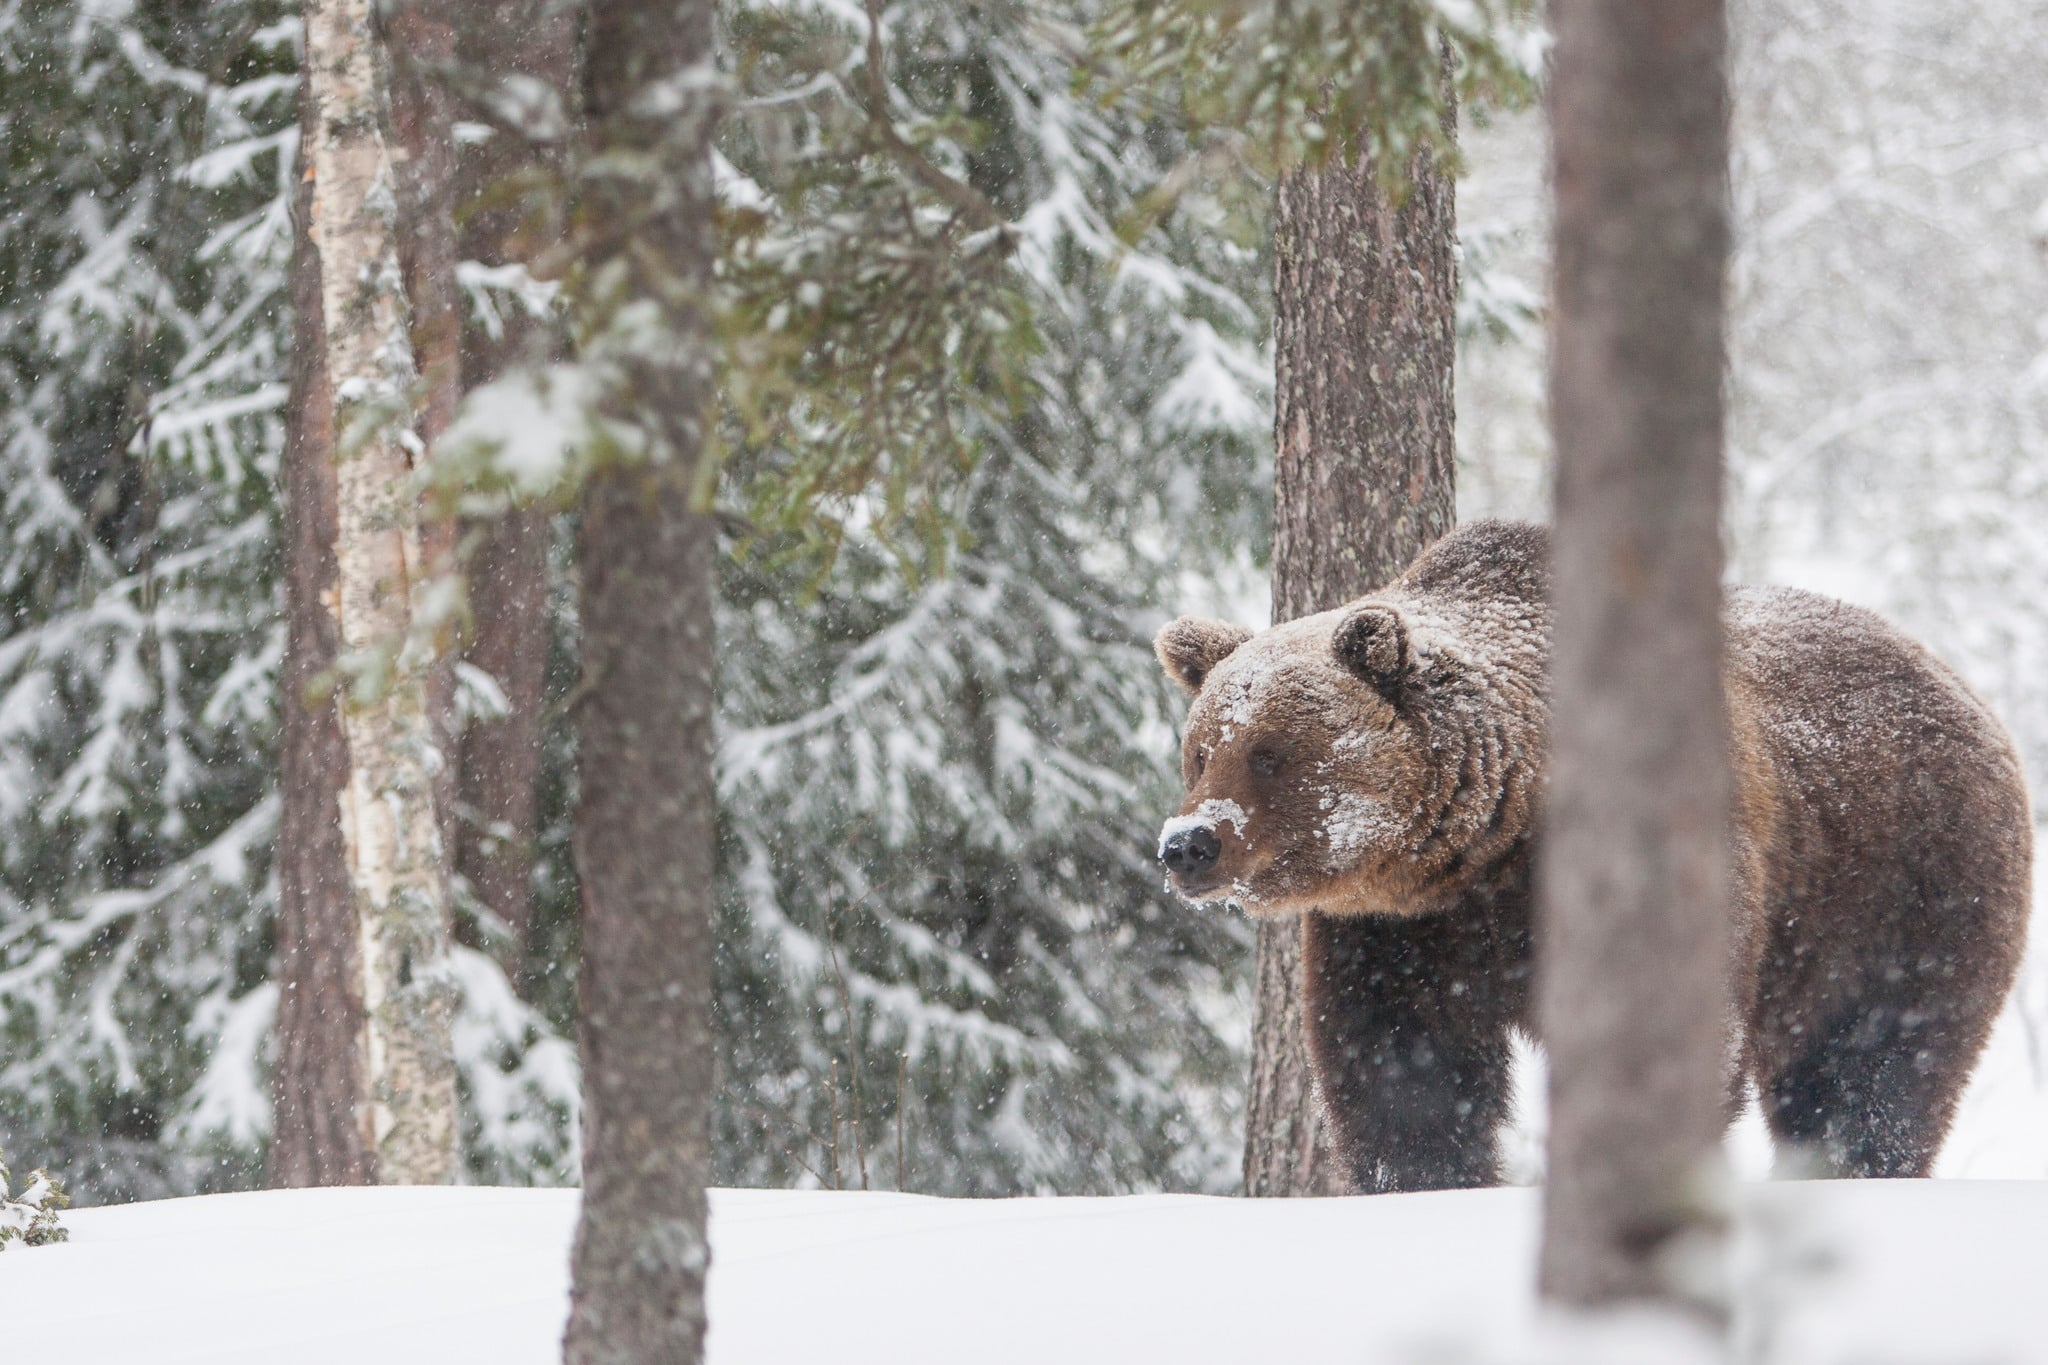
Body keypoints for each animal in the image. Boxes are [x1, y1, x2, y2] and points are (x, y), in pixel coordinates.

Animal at [1163, 517, 2023, 1186]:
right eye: (1202, 750)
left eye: (1271, 752)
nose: (1188, 843)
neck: (1490, 843)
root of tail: (1959, 682)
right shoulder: (1400, 930)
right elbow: (1400, 1065)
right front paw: (1421, 1178)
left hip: (1904, 884)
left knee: (1879, 1060)